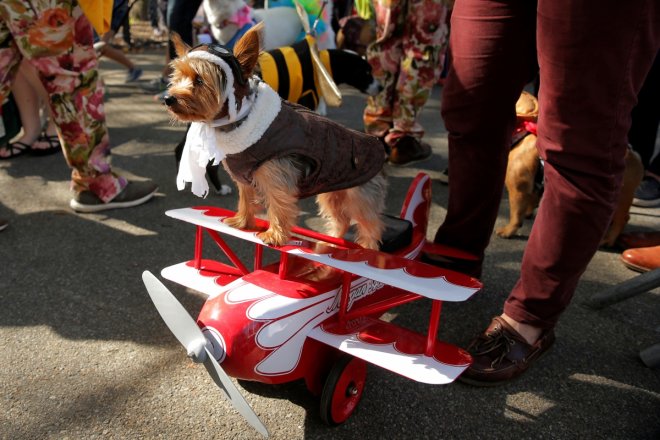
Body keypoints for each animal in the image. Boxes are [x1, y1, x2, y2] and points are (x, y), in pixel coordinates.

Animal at [163, 24, 386, 249]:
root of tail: (377, 145)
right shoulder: (245, 177)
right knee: (340, 219)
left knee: (369, 226)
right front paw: (242, 221)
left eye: (199, 80)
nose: (167, 98)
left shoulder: (277, 177)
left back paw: (365, 249)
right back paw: (330, 243)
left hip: (359, 195)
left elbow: (279, 205)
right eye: (177, 78)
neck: (238, 122)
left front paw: (275, 235)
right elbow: (246, 199)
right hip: (333, 190)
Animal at [496, 92, 644, 248]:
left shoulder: (518, 190)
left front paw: (508, 231)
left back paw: (609, 240)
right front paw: (529, 213)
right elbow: (532, 201)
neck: (522, 131)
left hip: (620, 196)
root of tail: (634, 155)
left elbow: (516, 214)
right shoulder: (534, 187)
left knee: (621, 218)